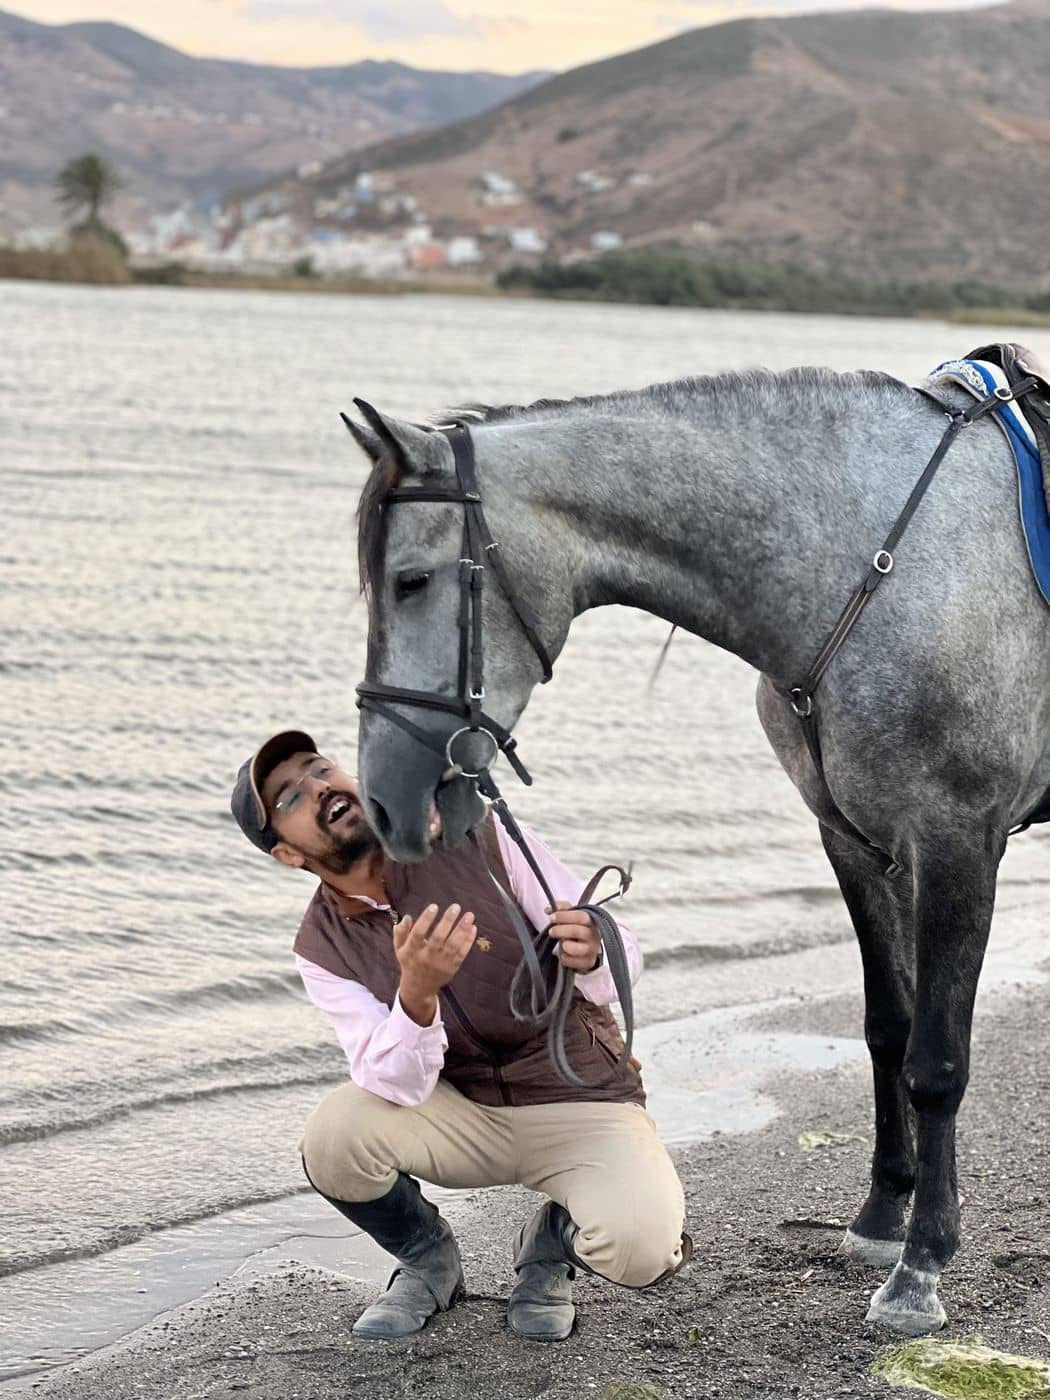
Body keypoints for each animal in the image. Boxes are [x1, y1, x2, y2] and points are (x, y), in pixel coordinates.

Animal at [344, 362, 1050, 1337]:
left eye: (411, 581)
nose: (383, 797)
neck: (881, 562)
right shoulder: (853, 844)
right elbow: (887, 1029)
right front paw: (881, 1217)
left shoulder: (956, 845)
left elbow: (937, 1063)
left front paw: (921, 1267)